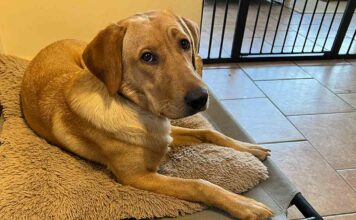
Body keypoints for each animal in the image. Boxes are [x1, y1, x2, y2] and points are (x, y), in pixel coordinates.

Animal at [21, 10, 272, 220]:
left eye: (184, 43)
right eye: (147, 57)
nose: (200, 97)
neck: (139, 110)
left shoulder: (167, 133)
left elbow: (208, 132)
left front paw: (249, 148)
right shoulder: (138, 177)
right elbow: (199, 184)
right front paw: (245, 205)